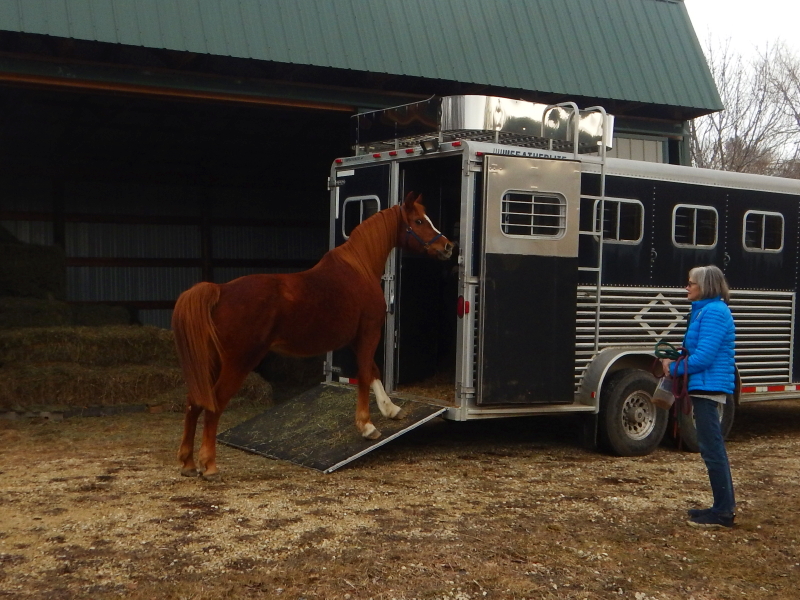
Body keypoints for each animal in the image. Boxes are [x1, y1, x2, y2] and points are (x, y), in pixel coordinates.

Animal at [172, 191, 454, 478]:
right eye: (419, 221)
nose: (447, 246)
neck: (359, 268)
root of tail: (220, 291)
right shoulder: (369, 332)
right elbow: (365, 374)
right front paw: (367, 426)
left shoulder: (356, 339)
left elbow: (372, 371)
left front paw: (391, 409)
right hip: (238, 363)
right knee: (214, 404)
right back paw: (209, 465)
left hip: (211, 363)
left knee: (194, 402)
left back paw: (188, 462)